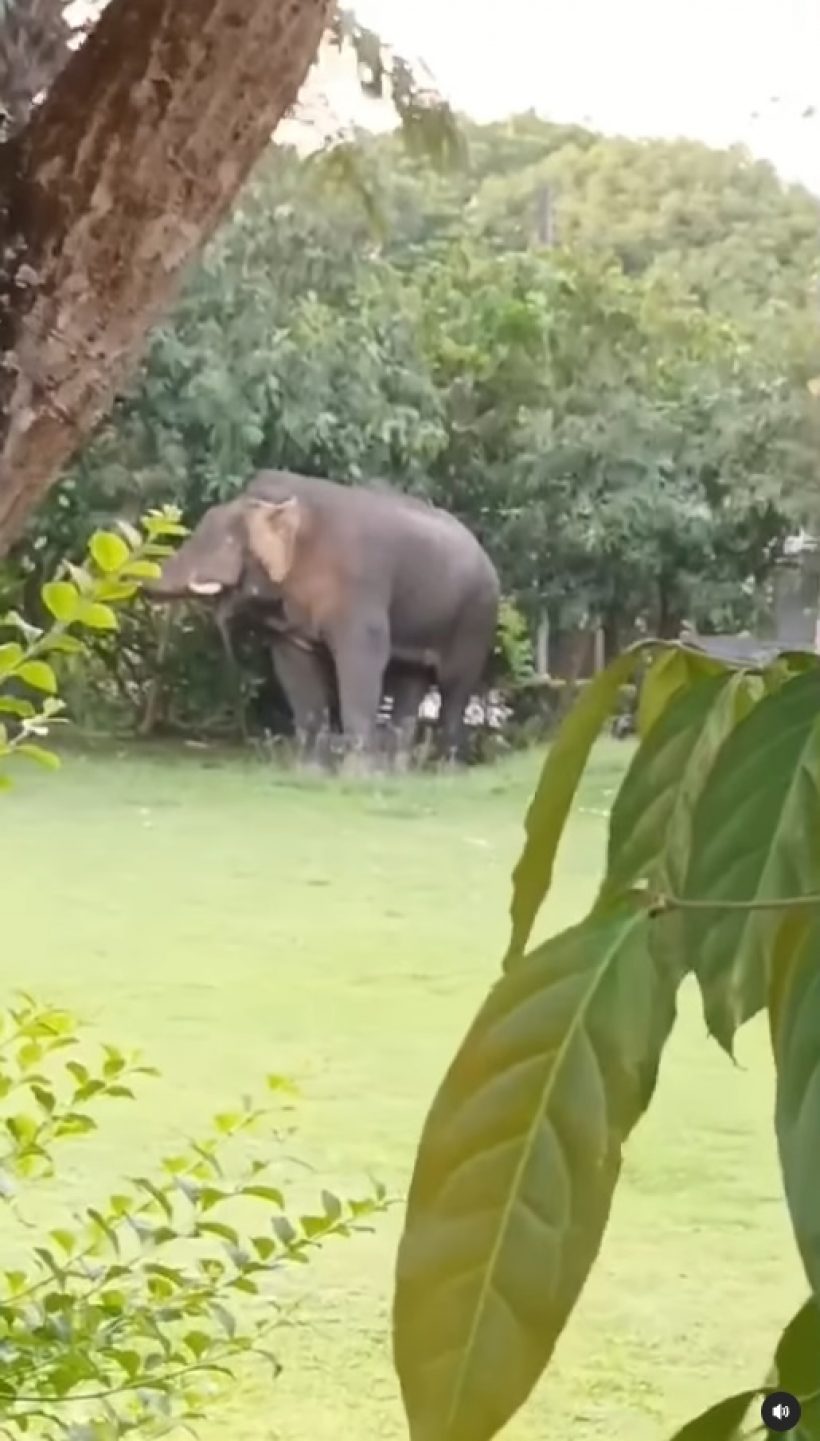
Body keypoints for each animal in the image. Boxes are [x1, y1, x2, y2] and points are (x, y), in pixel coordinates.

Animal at [148, 472, 498, 766]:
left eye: (226, 542)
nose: (147, 586)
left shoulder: (360, 584)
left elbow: (364, 656)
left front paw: (357, 774)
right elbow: (295, 665)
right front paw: (310, 770)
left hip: (476, 616)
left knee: (454, 687)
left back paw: (447, 769)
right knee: (411, 679)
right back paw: (399, 771)